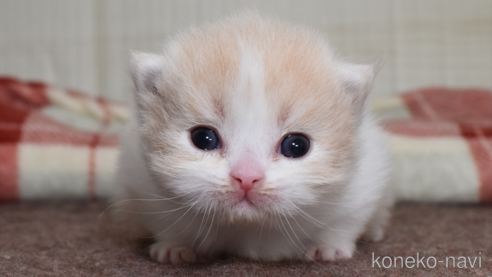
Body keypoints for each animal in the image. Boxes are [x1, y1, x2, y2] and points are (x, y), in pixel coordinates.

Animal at [112, 12, 392, 264]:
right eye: (203, 139)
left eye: (296, 146)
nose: (247, 178)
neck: (248, 227)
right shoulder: (140, 185)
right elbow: (169, 225)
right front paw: (175, 248)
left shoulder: (364, 186)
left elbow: (344, 223)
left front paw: (328, 249)